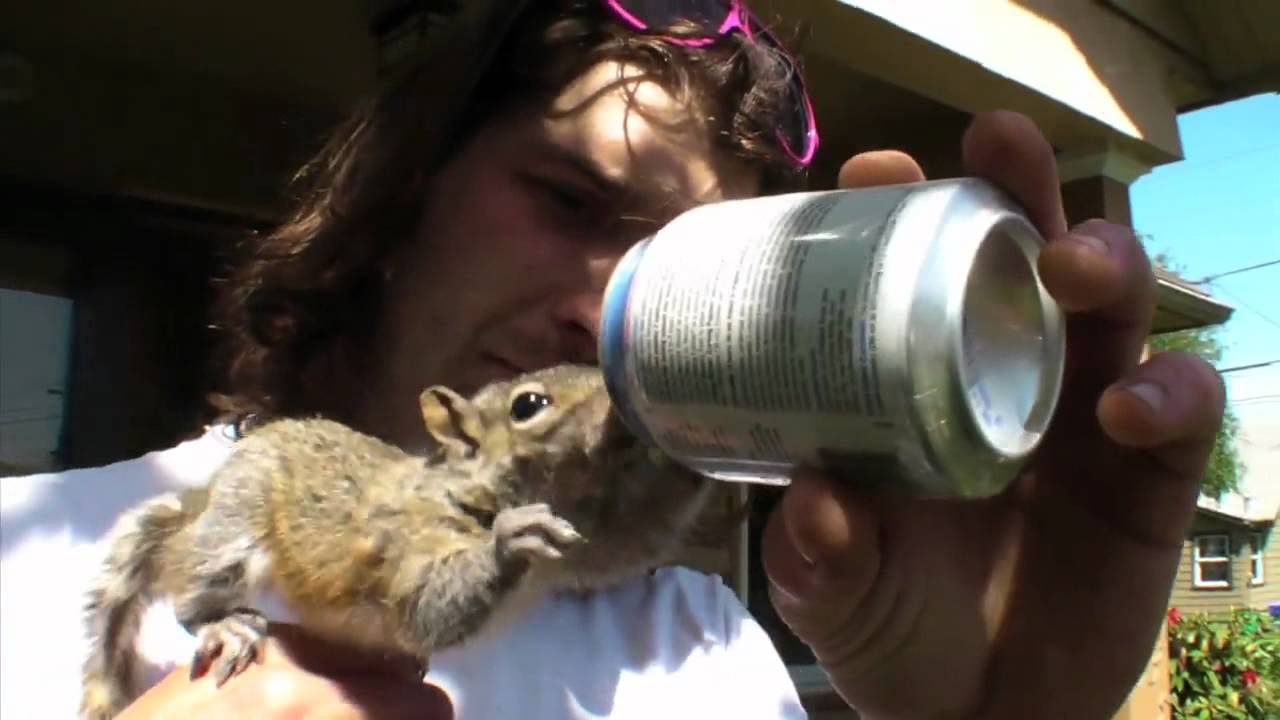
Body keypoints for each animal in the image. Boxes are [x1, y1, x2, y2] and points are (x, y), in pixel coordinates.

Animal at [79, 363, 715, 720]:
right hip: (237, 524)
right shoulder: (402, 536)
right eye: (529, 405)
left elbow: (633, 544)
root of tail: (206, 497)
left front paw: (692, 459)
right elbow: (426, 602)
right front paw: (511, 540)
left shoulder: (587, 547)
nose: (622, 415)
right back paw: (221, 623)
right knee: (195, 589)